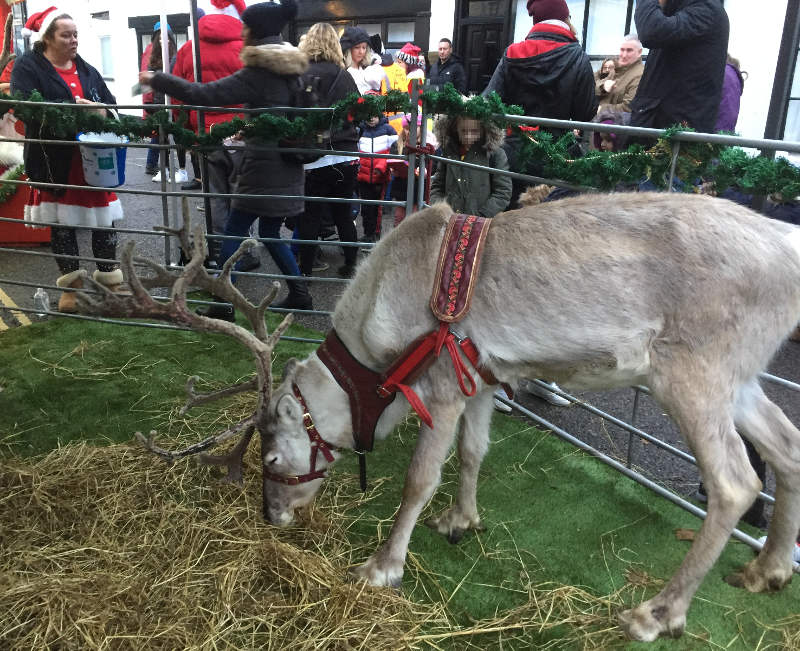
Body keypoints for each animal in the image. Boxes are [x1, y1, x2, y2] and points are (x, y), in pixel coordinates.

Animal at [83, 192, 800, 643]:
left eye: (271, 454)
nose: (272, 515)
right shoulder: (482, 378)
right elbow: (475, 452)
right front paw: (462, 520)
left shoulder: (440, 386)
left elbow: (418, 478)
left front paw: (381, 567)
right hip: (740, 377)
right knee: (788, 444)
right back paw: (767, 569)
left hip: (691, 371)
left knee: (736, 481)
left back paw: (657, 612)